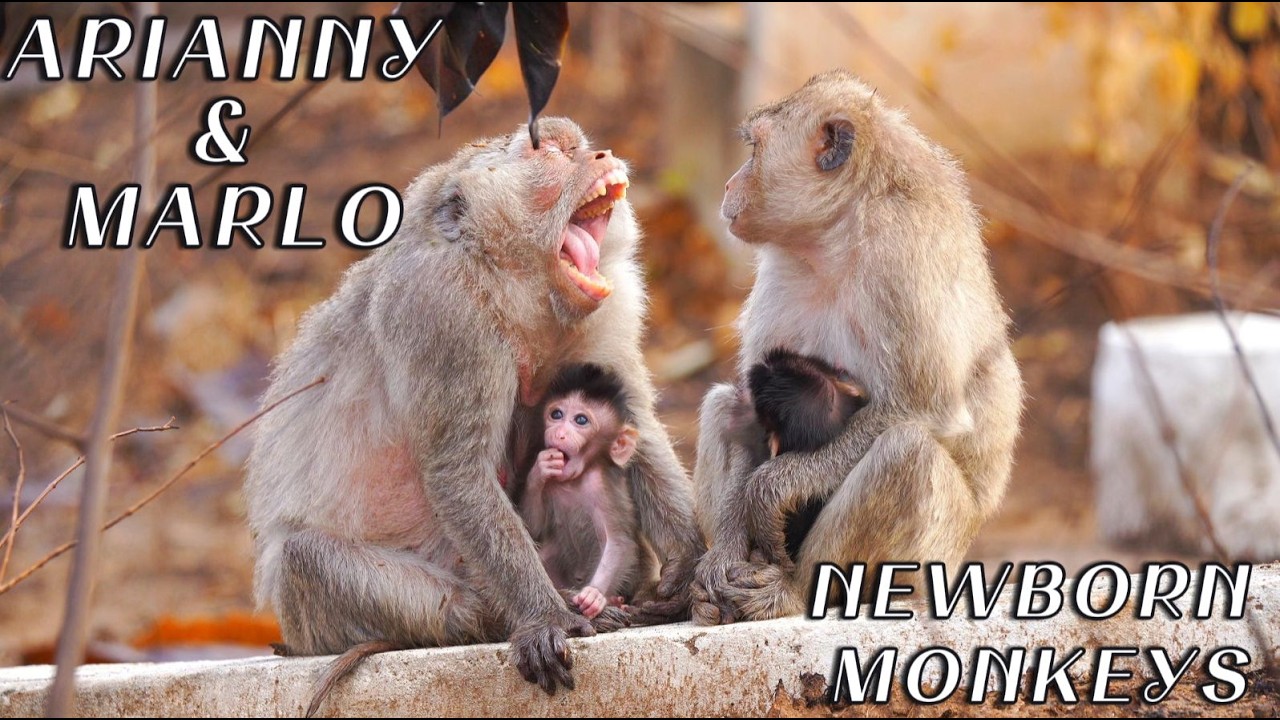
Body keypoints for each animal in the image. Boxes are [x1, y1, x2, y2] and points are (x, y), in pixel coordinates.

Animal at [520, 363, 658, 619]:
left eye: (581, 420)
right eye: (556, 414)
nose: (559, 433)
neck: (575, 479)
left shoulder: (603, 488)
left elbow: (617, 541)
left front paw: (595, 594)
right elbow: (534, 529)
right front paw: (541, 468)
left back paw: (614, 599)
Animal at [691, 69, 1024, 624]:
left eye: (754, 150)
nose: (728, 185)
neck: (841, 234)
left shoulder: (903, 258)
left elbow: (924, 410)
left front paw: (775, 486)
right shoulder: (781, 271)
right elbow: (748, 411)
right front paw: (725, 554)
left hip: (932, 560)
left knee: (906, 453)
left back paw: (797, 591)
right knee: (724, 405)